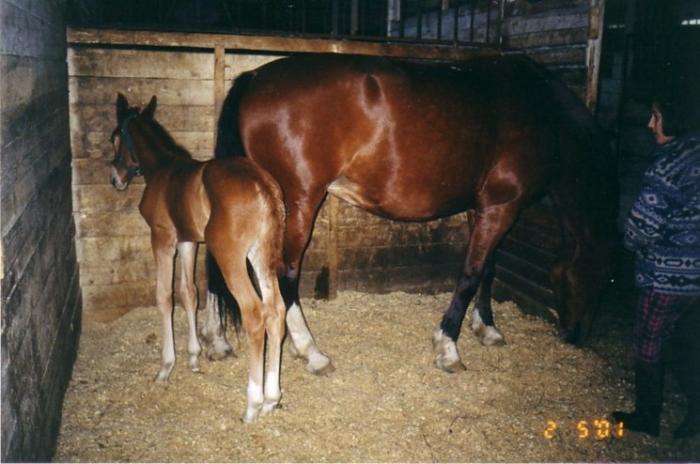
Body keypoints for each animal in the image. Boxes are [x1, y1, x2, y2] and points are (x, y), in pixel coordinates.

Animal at [109, 92, 284, 422]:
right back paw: (271, 399)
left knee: (254, 314)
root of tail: (262, 186)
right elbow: (189, 293)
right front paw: (193, 358)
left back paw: (252, 405)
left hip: (231, 259)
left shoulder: (163, 239)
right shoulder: (188, 240)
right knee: (275, 311)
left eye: (114, 138)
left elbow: (164, 296)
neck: (162, 168)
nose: (115, 179)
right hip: (262, 255)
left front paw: (165, 368)